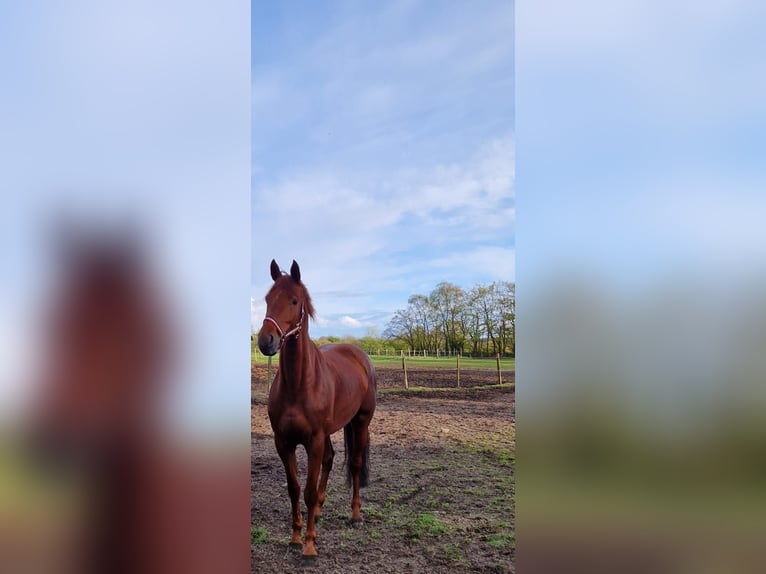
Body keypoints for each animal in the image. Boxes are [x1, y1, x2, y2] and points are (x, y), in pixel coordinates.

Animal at [258, 260, 378, 564]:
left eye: (294, 300)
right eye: (267, 299)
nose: (266, 341)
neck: (299, 384)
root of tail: (360, 355)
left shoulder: (313, 441)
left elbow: (309, 492)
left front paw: (310, 547)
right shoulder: (284, 442)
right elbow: (294, 489)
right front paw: (295, 537)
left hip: (360, 422)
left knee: (354, 465)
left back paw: (355, 515)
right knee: (331, 459)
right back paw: (322, 511)